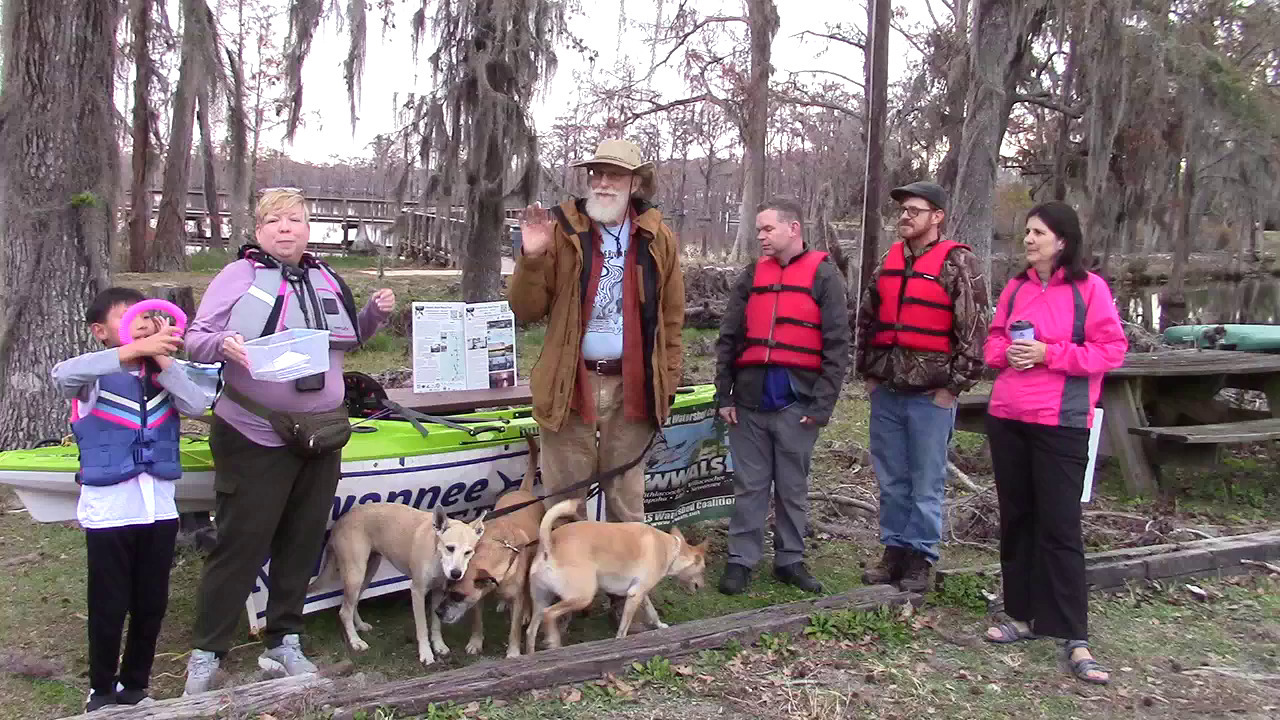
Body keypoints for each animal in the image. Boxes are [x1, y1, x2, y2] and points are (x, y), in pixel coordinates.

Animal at [313, 499, 483, 661]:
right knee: (344, 611)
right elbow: (422, 628)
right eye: (450, 548)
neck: (436, 553)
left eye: (468, 552)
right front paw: (426, 654)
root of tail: (341, 520)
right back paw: (355, 641)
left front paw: (439, 645)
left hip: (366, 574)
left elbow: (436, 623)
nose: (456, 574)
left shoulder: (438, 591)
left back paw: (359, 626)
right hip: (355, 575)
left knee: (352, 604)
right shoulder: (417, 591)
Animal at [435, 435, 545, 653]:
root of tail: (523, 490)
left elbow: (514, 629)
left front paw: (513, 652)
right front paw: (475, 642)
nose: (437, 612)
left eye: (458, 596)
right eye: (445, 591)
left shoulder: (516, 599)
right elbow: (477, 622)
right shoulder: (477, 599)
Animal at [524, 499, 716, 650]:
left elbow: (652, 612)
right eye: (703, 570)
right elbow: (623, 630)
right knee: (549, 614)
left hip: (541, 600)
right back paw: (554, 642)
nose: (703, 586)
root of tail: (549, 544)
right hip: (582, 597)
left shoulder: (639, 593)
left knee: (531, 630)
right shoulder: (635, 595)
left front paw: (660, 625)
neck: (672, 549)